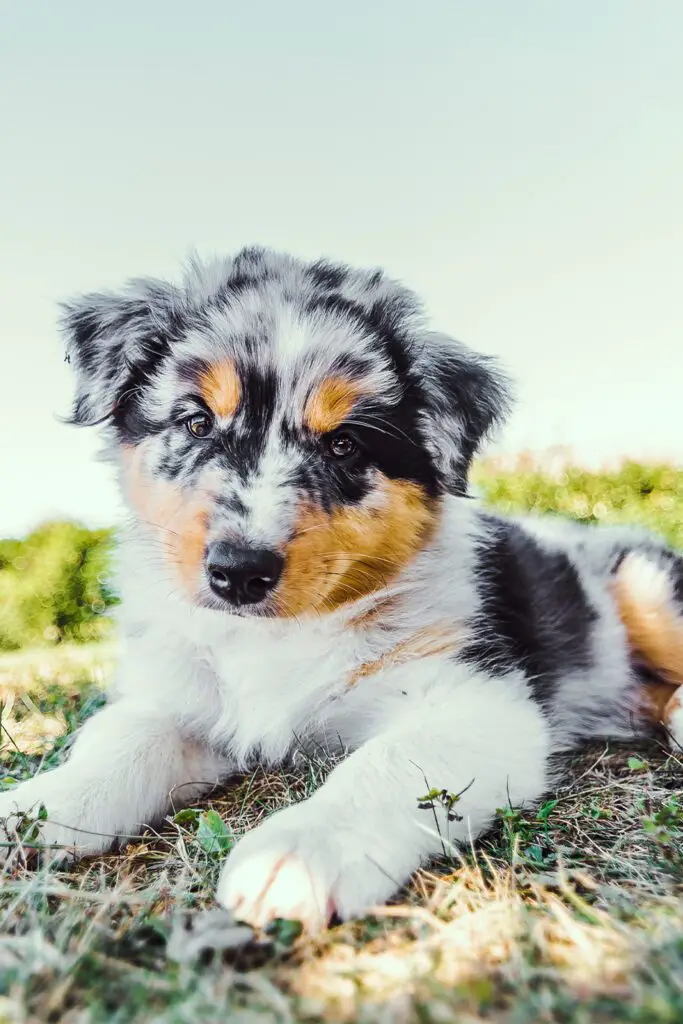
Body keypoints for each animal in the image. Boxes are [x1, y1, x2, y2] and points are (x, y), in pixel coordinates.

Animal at [1, 245, 683, 929]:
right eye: (195, 421)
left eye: (344, 444)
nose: (239, 572)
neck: (279, 637)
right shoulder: (181, 695)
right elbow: (120, 740)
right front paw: (35, 804)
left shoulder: (479, 697)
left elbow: (390, 763)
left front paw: (297, 853)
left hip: (647, 583)